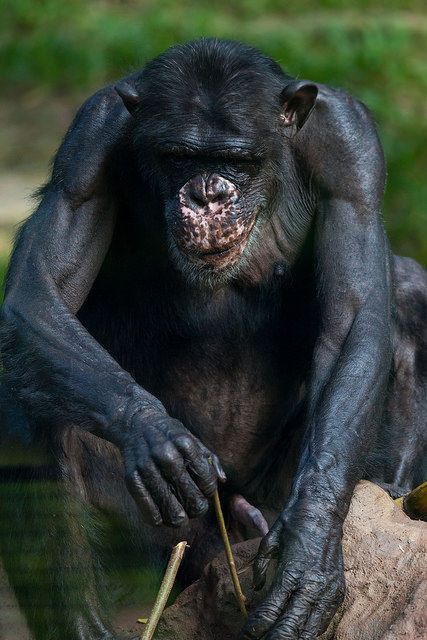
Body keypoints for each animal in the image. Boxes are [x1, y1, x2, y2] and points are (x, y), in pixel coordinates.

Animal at [0, 38, 426, 640]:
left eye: (238, 162)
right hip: (179, 545)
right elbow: (40, 293)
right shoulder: (89, 145)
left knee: (407, 291)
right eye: (180, 157)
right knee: (27, 396)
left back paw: (388, 495)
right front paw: (156, 437)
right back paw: (84, 622)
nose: (205, 194)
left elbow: (353, 318)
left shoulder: (350, 148)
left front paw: (308, 554)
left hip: (266, 507)